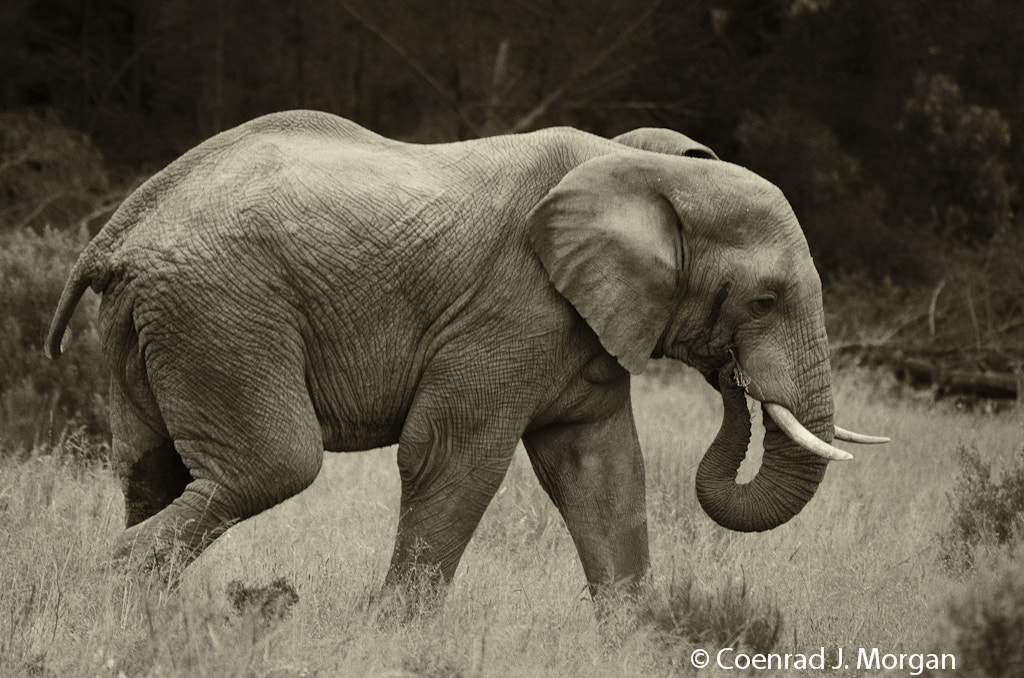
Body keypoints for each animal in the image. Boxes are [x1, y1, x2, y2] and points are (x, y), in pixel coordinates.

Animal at [44, 110, 884, 606]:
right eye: (764, 302)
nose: (732, 379)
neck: (644, 168)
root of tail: (122, 227)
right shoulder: (509, 306)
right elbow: (453, 455)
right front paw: (394, 636)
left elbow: (603, 470)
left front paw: (636, 637)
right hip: (223, 309)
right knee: (273, 464)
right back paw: (119, 588)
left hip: (154, 322)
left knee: (152, 468)